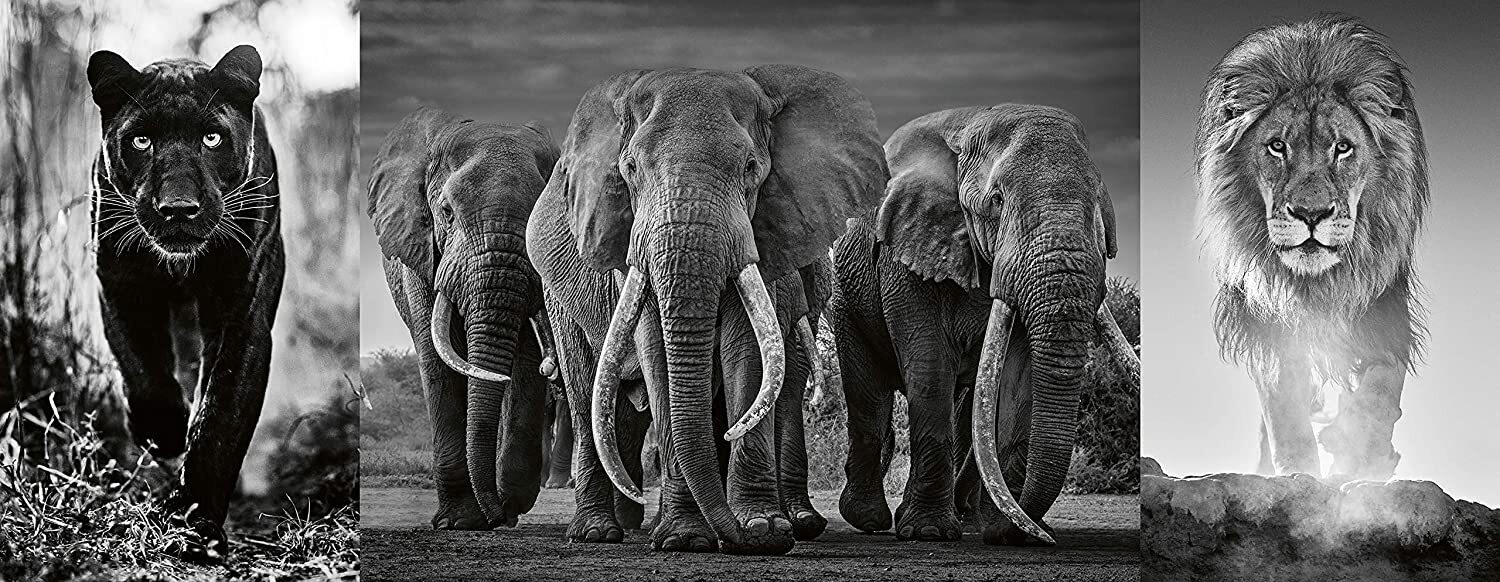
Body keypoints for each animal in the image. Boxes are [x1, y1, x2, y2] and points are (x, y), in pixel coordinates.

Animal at [369, 108, 561, 529]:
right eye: (446, 213)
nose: (497, 516)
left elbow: (525, 360)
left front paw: (508, 505)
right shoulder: (421, 252)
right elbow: (435, 356)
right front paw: (459, 521)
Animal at [525, 66, 887, 555]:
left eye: (751, 167)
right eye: (630, 169)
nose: (743, 536)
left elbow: (748, 350)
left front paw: (764, 529)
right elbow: (657, 351)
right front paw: (686, 539)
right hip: (559, 298)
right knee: (586, 395)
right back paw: (597, 532)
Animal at [831, 105, 1139, 545]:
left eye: (1101, 207)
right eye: (996, 201)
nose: (1035, 534)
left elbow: (1017, 376)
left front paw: (1006, 533)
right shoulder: (909, 246)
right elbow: (928, 363)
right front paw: (928, 532)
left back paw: (969, 521)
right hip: (846, 297)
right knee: (869, 394)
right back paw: (869, 519)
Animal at [1195, 14, 1427, 482]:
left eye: (1343, 148)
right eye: (1276, 146)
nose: (1311, 213)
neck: (1317, 281)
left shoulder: (1384, 300)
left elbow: (1382, 382)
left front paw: (1362, 455)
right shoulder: (1264, 312)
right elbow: (1283, 400)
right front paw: (1299, 471)